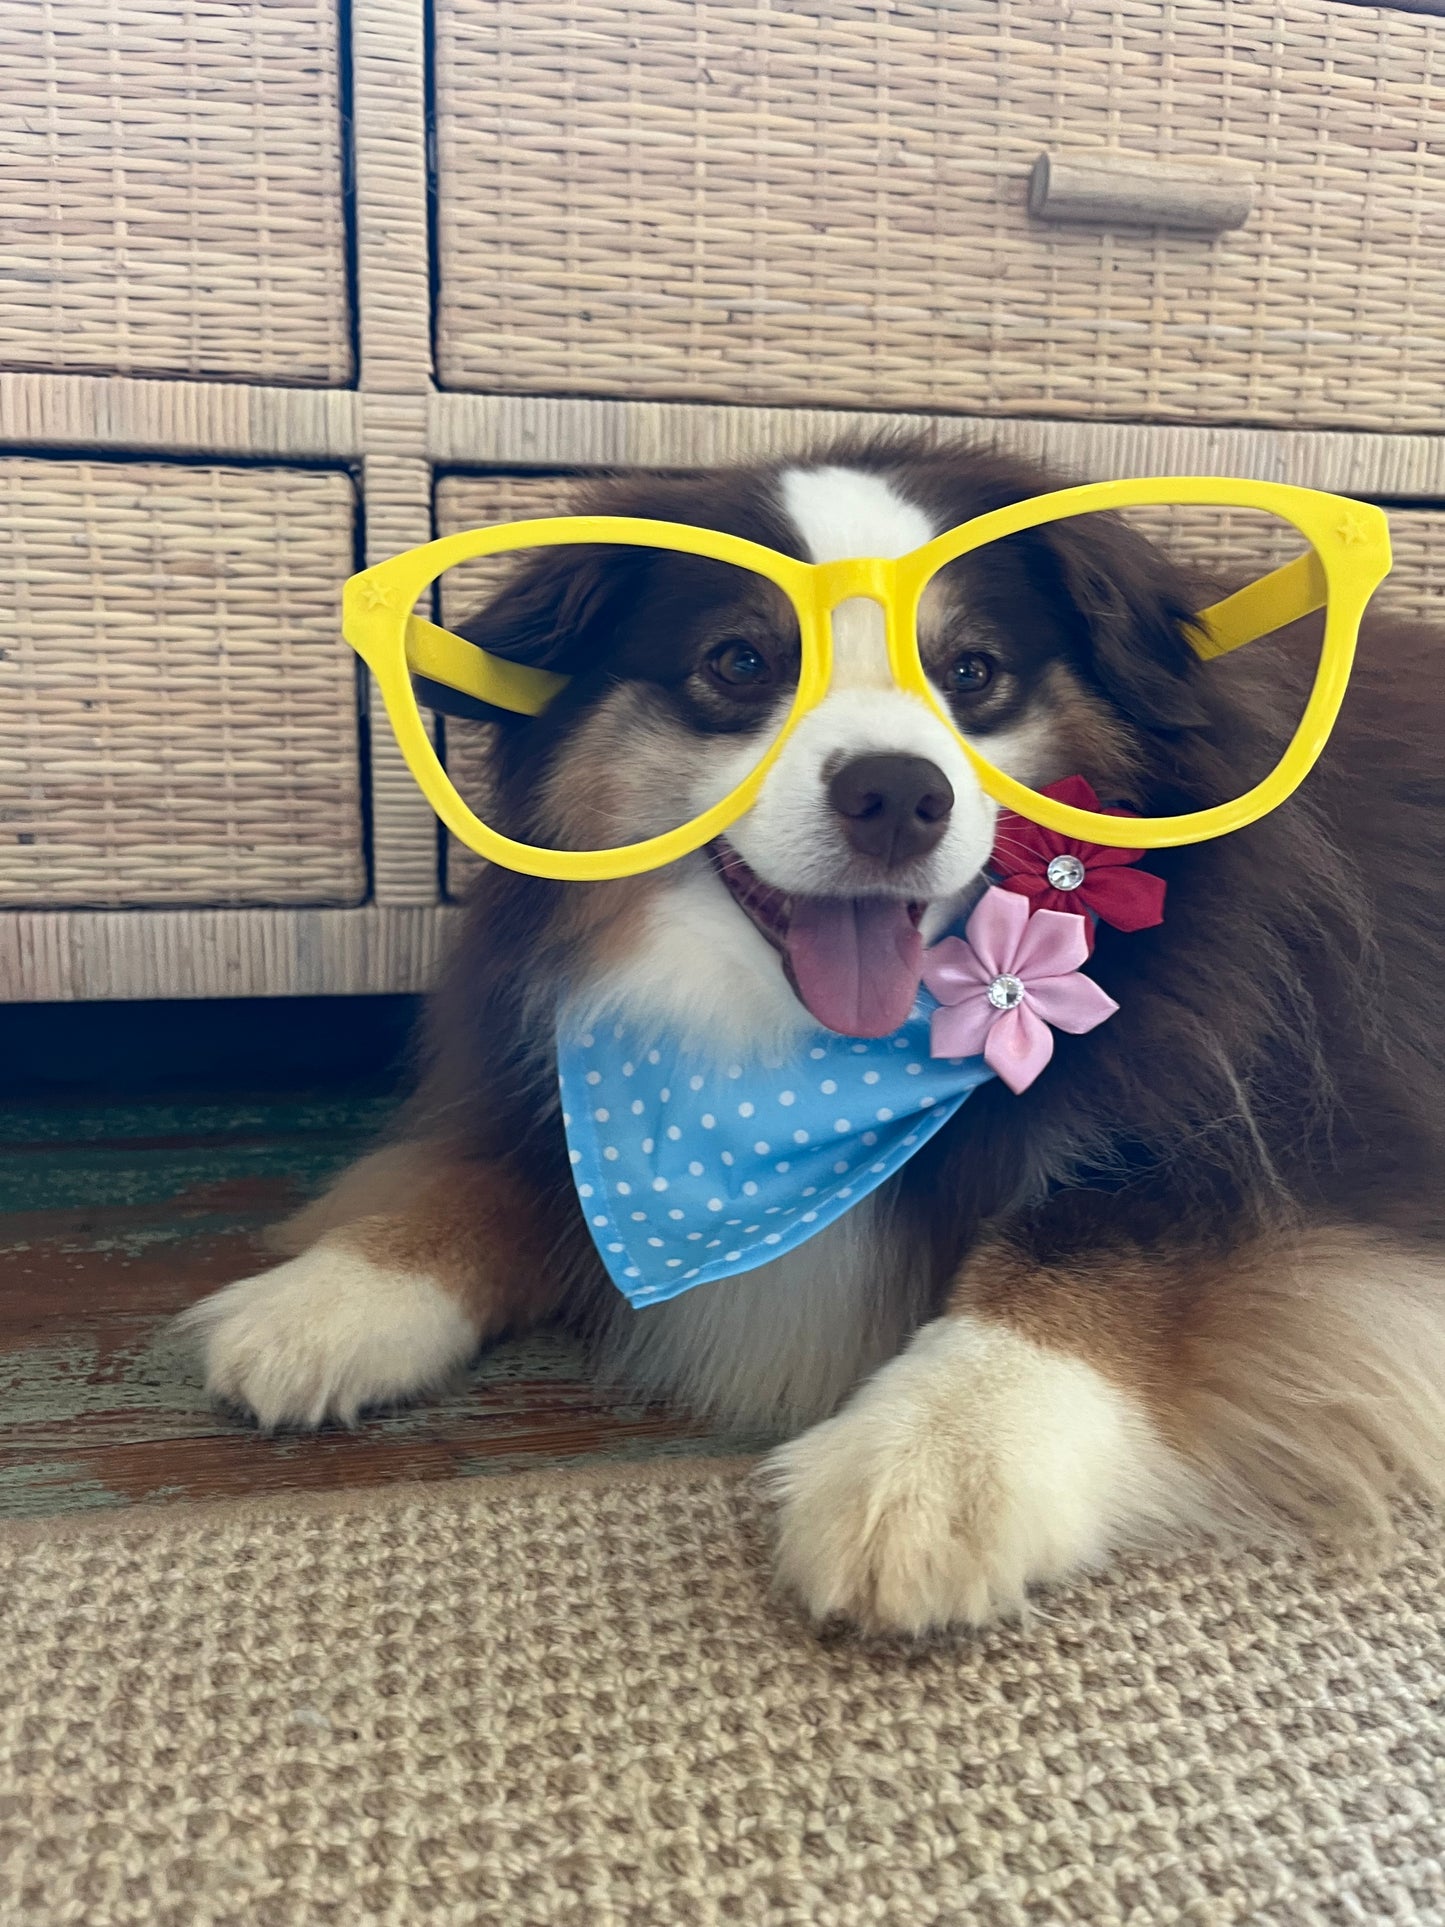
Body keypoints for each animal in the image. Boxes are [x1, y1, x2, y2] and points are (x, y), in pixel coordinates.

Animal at [181, 443, 1445, 1634]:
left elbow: (1094, 1245)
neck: (798, 1068)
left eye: (970, 671)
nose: (896, 794)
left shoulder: (1290, 1130)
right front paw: (338, 1293)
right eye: (739, 661)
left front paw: (938, 1456)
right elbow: (506, 1171)